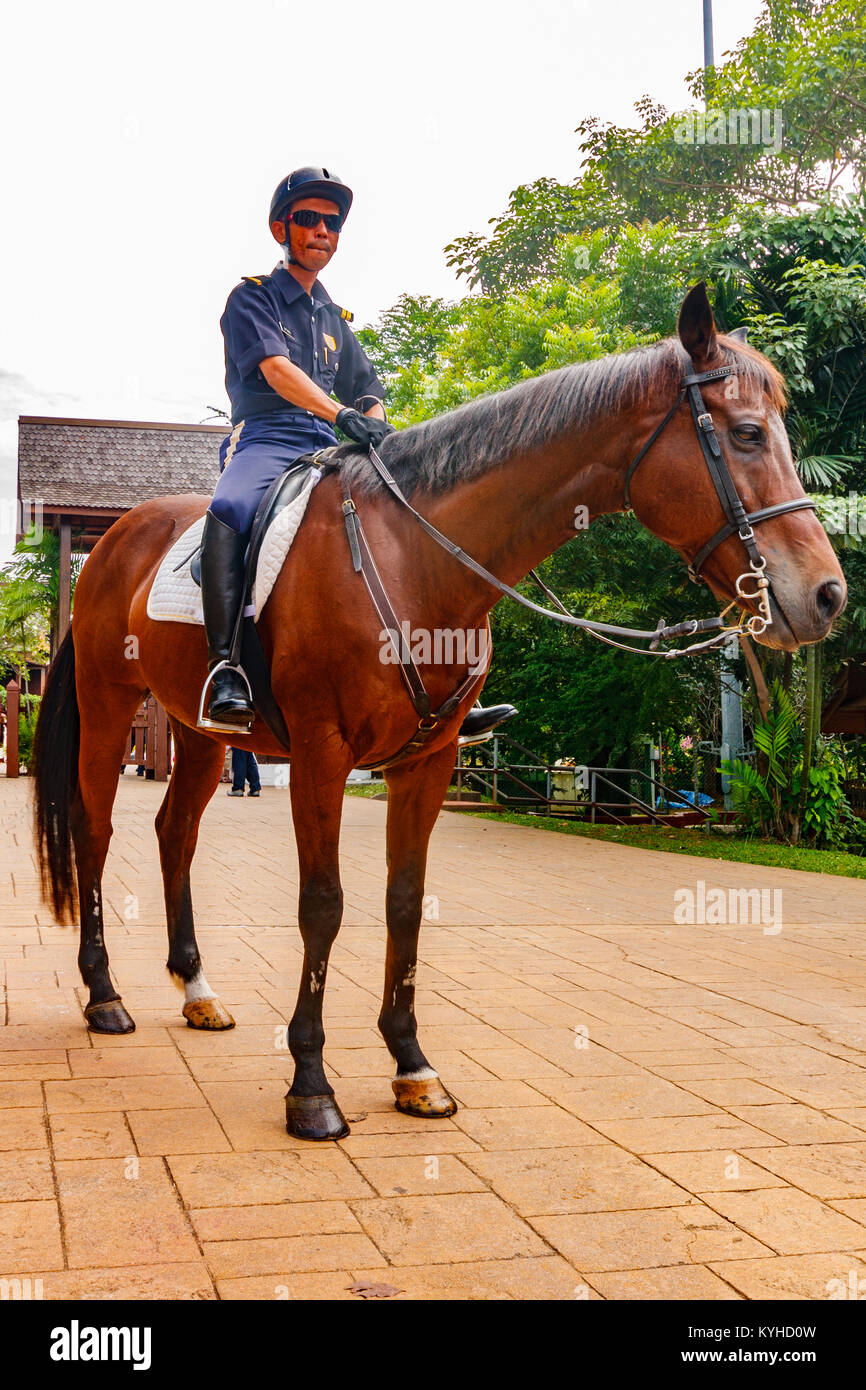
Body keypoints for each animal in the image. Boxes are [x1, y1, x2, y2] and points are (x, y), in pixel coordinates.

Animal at [32, 284, 846, 1141]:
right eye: (747, 434)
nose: (826, 595)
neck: (412, 557)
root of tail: (117, 537)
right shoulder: (322, 753)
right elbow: (322, 906)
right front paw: (311, 1085)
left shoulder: (429, 760)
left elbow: (405, 904)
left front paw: (411, 1065)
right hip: (109, 705)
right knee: (95, 827)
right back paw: (104, 994)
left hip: (199, 735)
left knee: (174, 833)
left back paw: (195, 989)